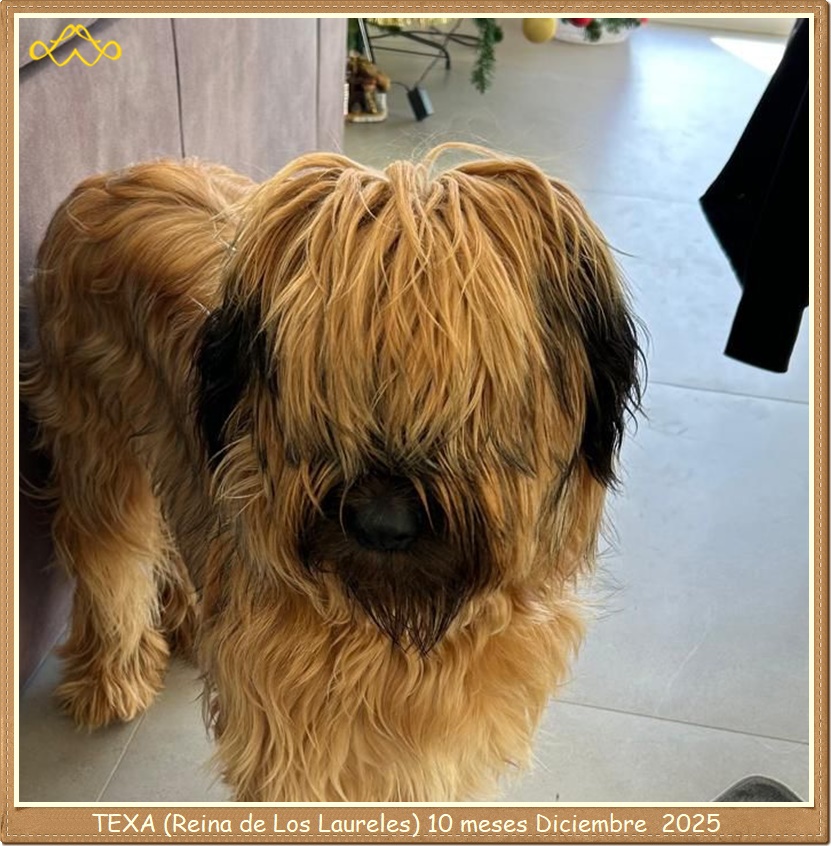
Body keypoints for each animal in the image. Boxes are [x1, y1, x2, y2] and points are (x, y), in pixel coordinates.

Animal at [21, 146, 642, 802]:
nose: (382, 527)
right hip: (95, 442)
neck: (401, 623)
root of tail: (105, 178)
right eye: (325, 385)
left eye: (465, 394)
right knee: (110, 556)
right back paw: (110, 680)